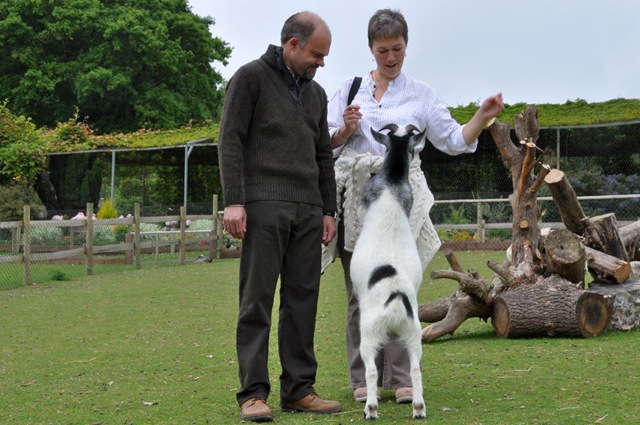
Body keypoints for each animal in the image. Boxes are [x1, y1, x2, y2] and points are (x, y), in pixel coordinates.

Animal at [350, 124, 427, 420]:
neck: (391, 186)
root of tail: (395, 298)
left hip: (369, 334)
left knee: (371, 370)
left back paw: (371, 408)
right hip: (414, 334)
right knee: (415, 369)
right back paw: (418, 407)